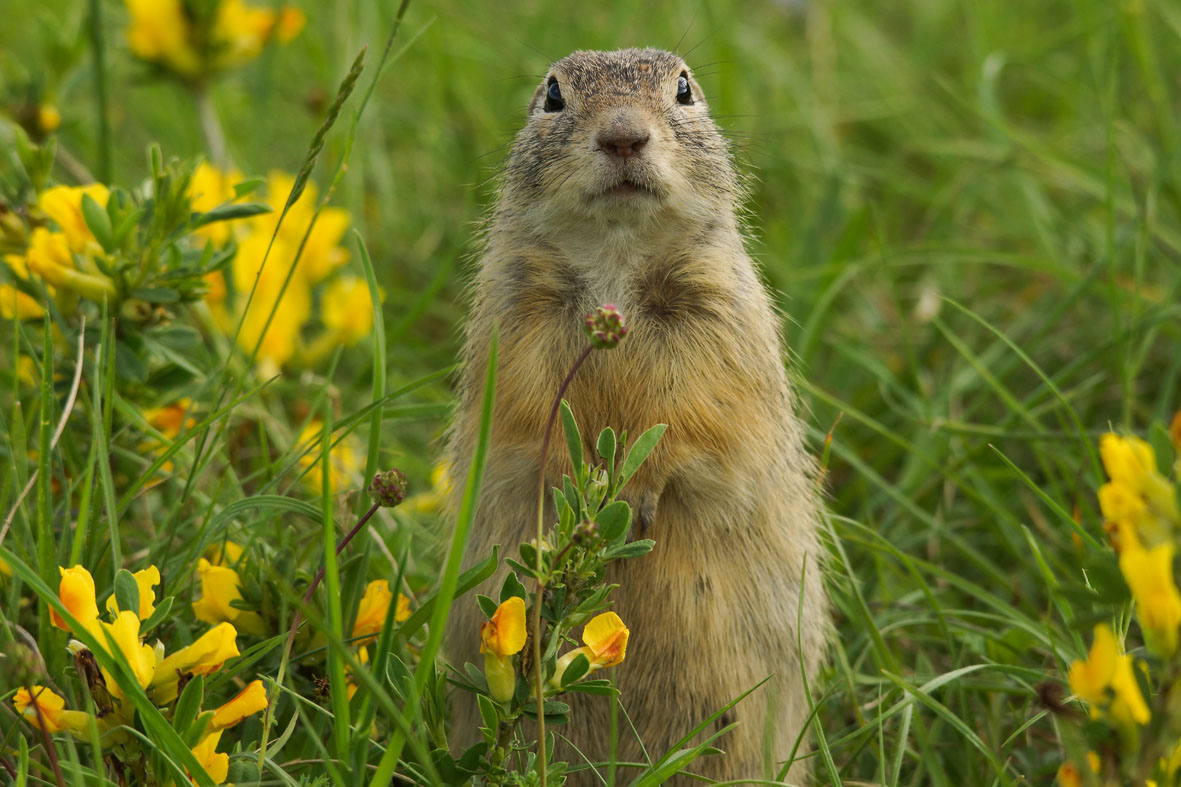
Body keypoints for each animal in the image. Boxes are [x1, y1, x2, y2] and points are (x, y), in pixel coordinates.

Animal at [446, 47, 826, 779]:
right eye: (552, 95)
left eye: (683, 90)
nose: (624, 135)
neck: (616, 260)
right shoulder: (518, 321)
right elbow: (529, 417)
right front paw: (572, 486)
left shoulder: (716, 324)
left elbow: (697, 418)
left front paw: (635, 492)